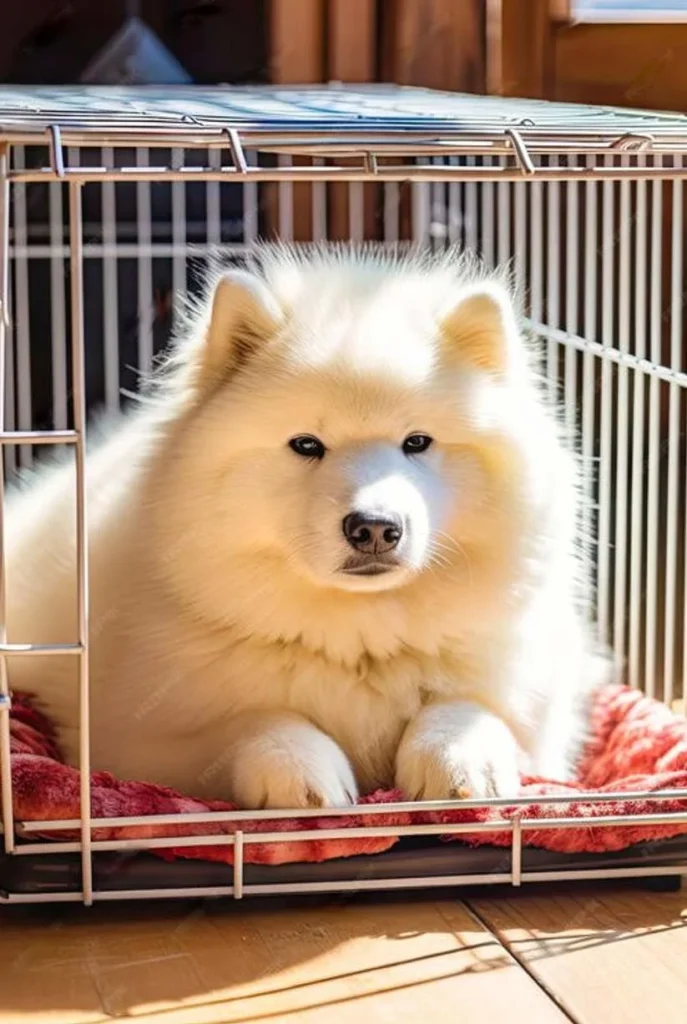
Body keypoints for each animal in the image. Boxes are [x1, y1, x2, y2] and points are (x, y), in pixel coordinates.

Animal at [5, 247, 606, 806]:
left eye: (417, 442)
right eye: (307, 445)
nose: (374, 527)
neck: (357, 639)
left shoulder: (540, 727)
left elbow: (469, 707)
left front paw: (460, 764)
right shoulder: (129, 742)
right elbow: (256, 721)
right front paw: (301, 772)